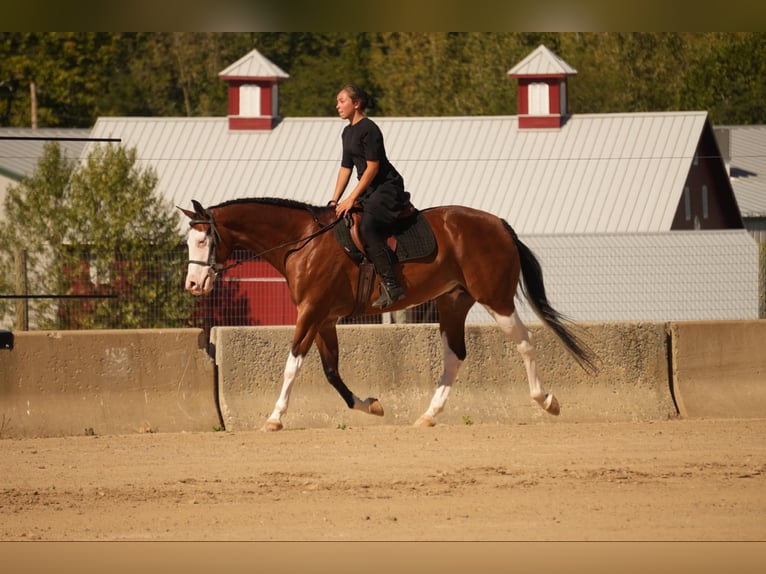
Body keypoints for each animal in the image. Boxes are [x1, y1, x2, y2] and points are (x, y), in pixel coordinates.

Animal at [182, 198, 600, 432]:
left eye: (203, 240)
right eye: (188, 241)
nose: (193, 284)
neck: (303, 242)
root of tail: (498, 223)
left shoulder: (311, 313)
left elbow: (292, 366)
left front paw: (274, 417)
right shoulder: (324, 319)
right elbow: (331, 372)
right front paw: (370, 405)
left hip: (495, 299)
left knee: (526, 343)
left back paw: (546, 400)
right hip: (453, 301)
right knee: (455, 355)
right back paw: (429, 415)